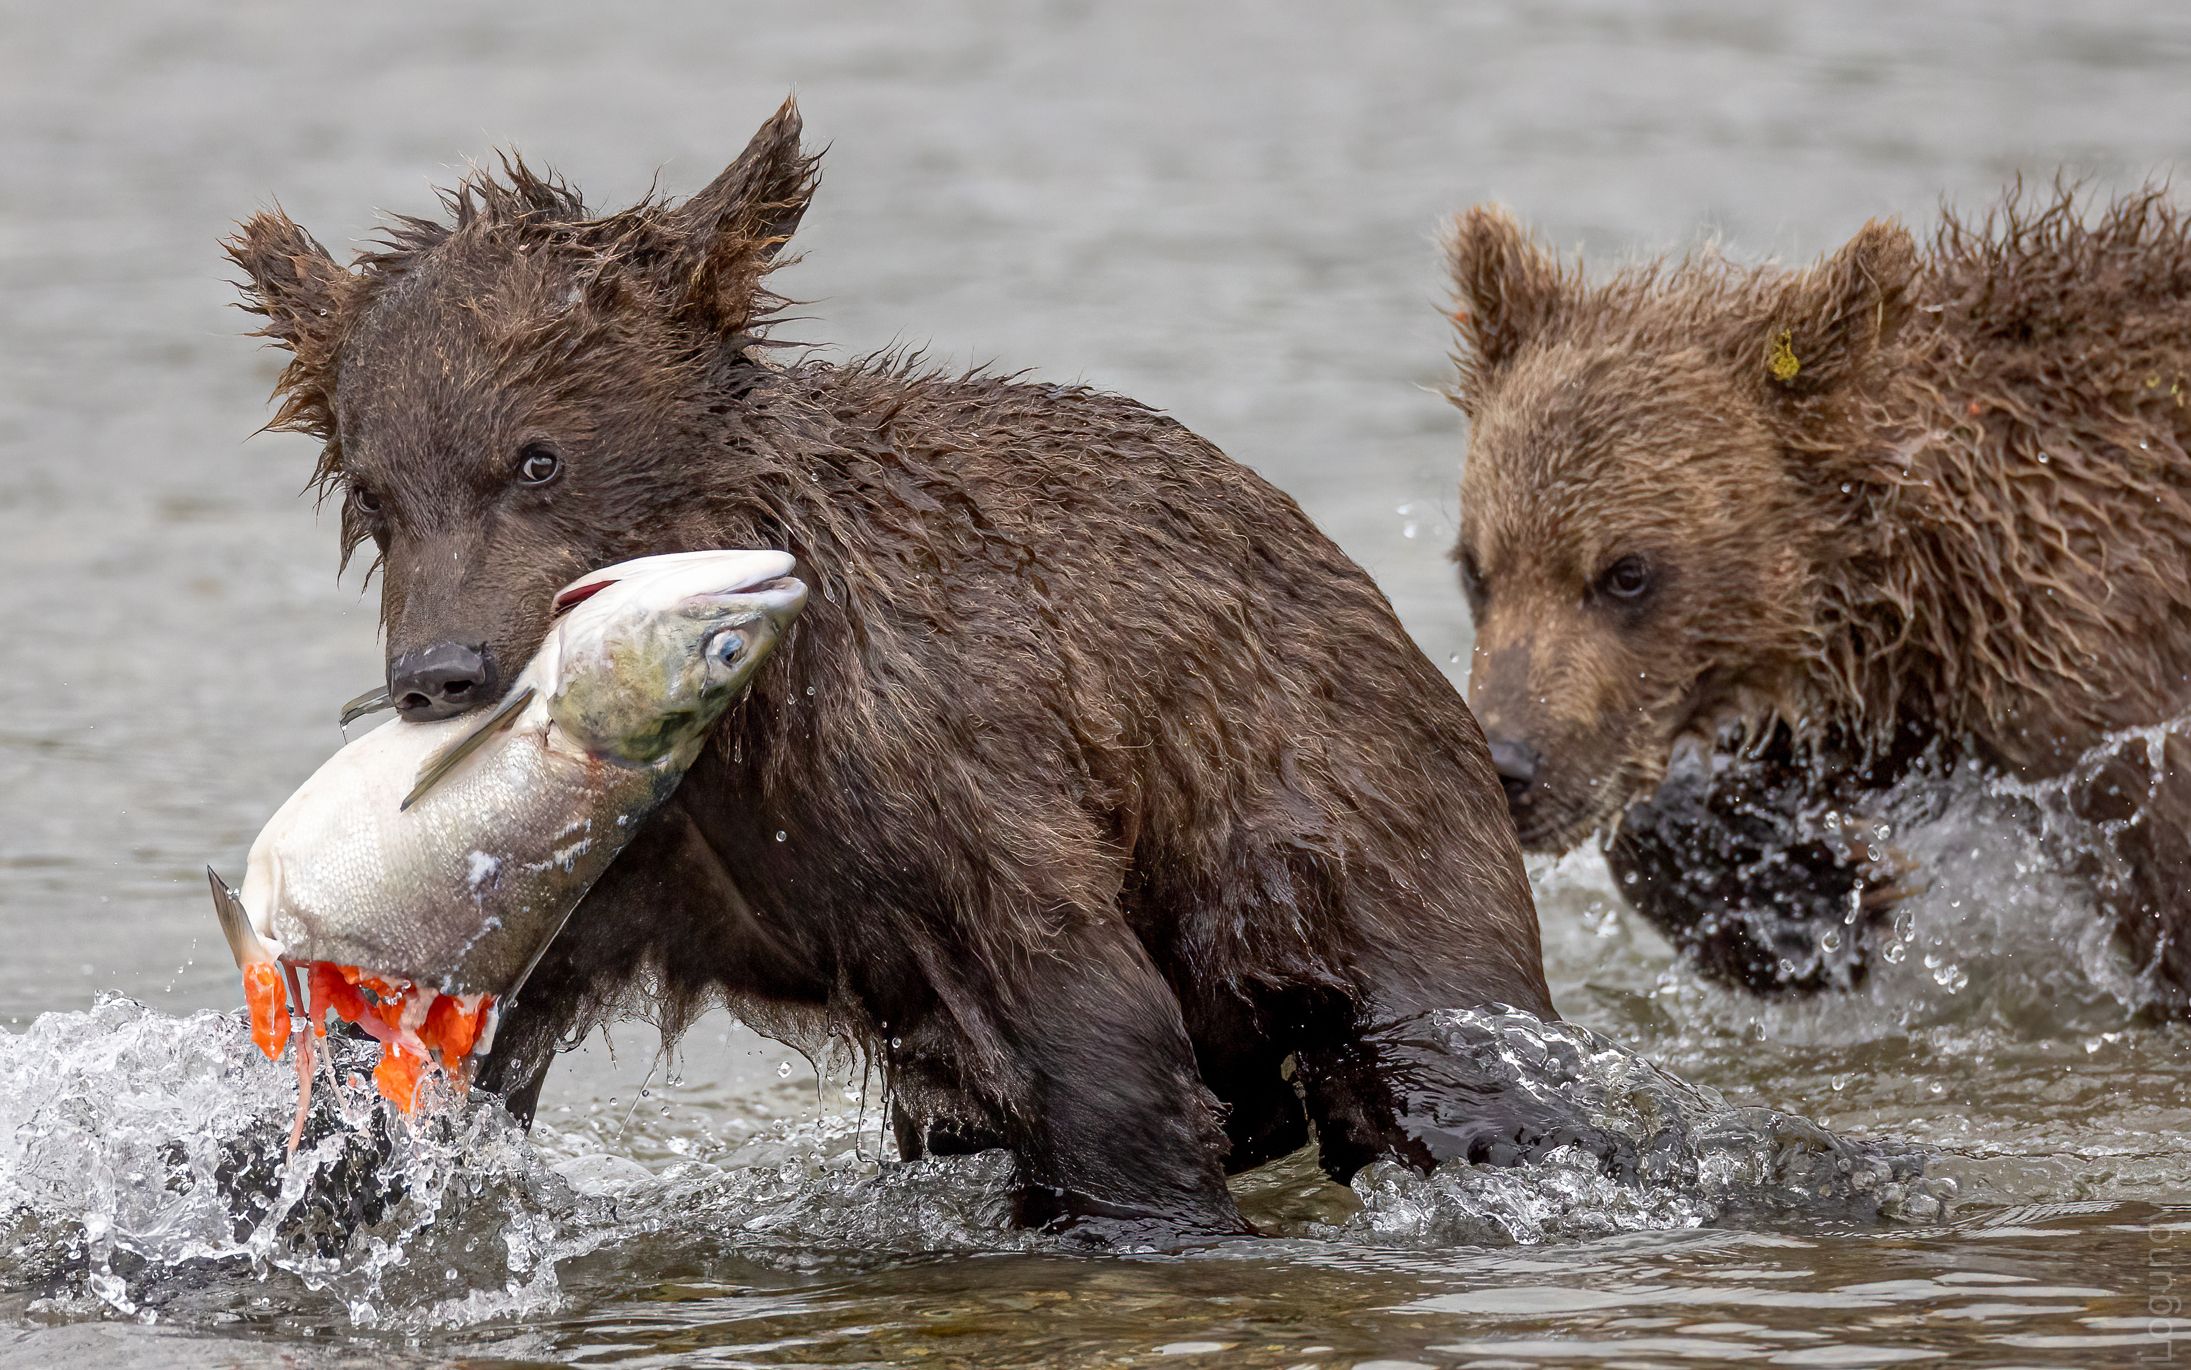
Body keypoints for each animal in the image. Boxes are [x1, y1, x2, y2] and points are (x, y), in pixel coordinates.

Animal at [222, 96, 1559, 1236]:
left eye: (536, 459)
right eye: (375, 492)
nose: (440, 670)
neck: (733, 740)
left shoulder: (929, 760)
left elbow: (1089, 1027)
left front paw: (1145, 1216)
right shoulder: (586, 856)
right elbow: (422, 1059)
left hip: (1342, 813)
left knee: (1453, 1044)